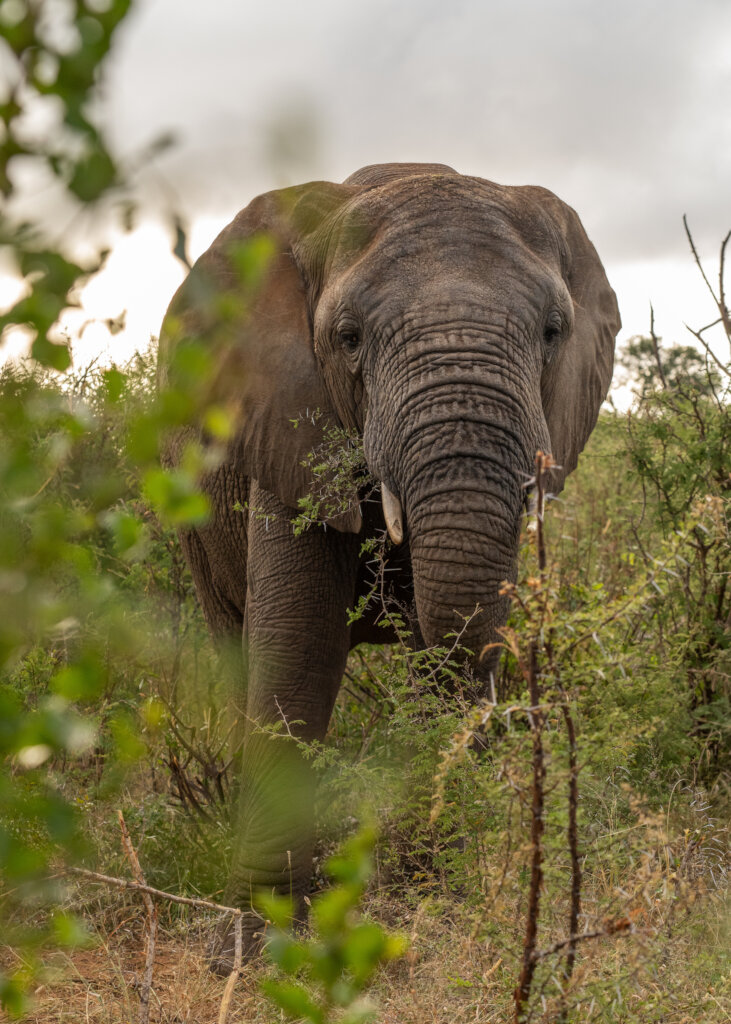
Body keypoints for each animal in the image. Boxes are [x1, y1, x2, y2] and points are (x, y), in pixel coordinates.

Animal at [158, 162, 620, 967]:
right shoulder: (286, 427)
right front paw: (253, 944)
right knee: (234, 642)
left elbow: (438, 656)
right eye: (348, 339)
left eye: (552, 333)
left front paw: (431, 894)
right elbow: (298, 646)